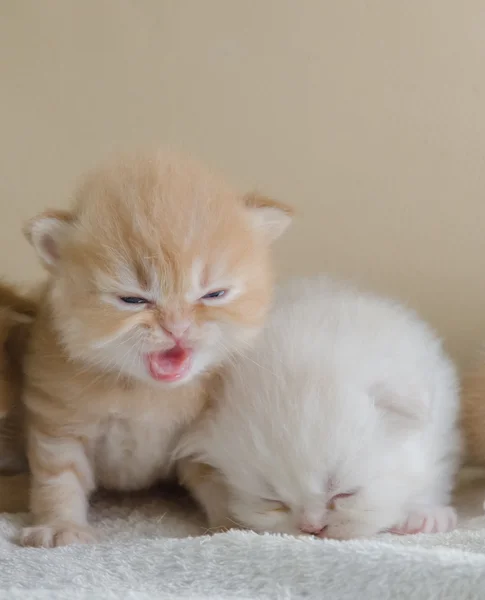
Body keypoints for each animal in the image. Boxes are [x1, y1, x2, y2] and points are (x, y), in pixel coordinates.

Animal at [11, 148, 292, 548]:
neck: (145, 392)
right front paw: (60, 524)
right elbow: (59, 477)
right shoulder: (58, 418)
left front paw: (231, 525)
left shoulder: (206, 435)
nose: (177, 327)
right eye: (133, 299)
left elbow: (218, 480)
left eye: (214, 294)